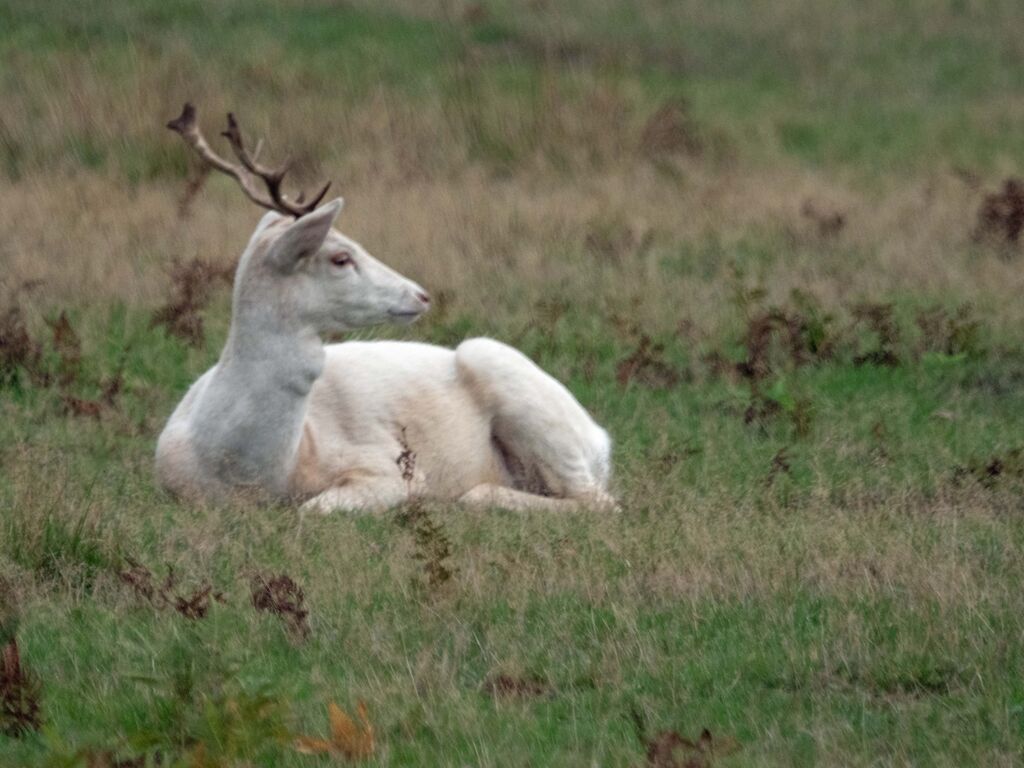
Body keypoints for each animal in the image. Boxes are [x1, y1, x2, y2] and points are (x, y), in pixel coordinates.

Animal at [155, 104, 616, 514]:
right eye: (340, 257)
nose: (421, 294)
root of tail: (600, 437)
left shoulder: (386, 465)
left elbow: (313, 508)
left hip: (516, 387)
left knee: (599, 502)